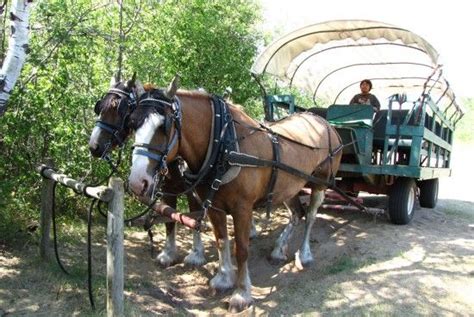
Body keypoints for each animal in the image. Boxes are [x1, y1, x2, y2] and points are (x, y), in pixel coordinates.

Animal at [89, 76, 207, 266]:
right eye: (100, 107)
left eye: (117, 108)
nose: (94, 146)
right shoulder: (167, 190)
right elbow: (169, 219)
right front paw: (168, 253)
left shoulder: (194, 191)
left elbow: (195, 217)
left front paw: (196, 254)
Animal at [128, 77, 342, 312]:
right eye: (133, 123)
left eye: (163, 126)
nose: (137, 182)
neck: (223, 143)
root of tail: (324, 123)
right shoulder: (214, 206)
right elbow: (222, 241)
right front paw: (223, 279)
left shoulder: (242, 209)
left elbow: (242, 250)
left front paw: (241, 293)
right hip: (290, 187)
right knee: (296, 214)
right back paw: (278, 250)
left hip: (319, 184)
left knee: (310, 216)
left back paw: (304, 255)